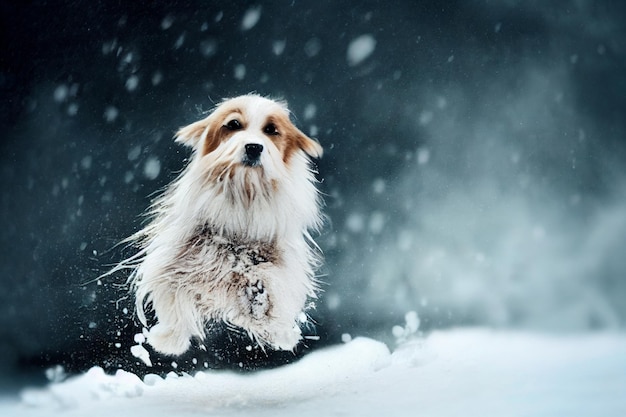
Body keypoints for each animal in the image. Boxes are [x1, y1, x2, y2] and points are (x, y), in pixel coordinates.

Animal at [115, 94, 324, 354]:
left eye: (271, 130)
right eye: (234, 124)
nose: (254, 147)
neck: (245, 197)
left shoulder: (282, 262)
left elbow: (276, 286)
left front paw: (269, 315)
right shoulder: (183, 259)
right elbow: (174, 294)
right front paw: (170, 339)